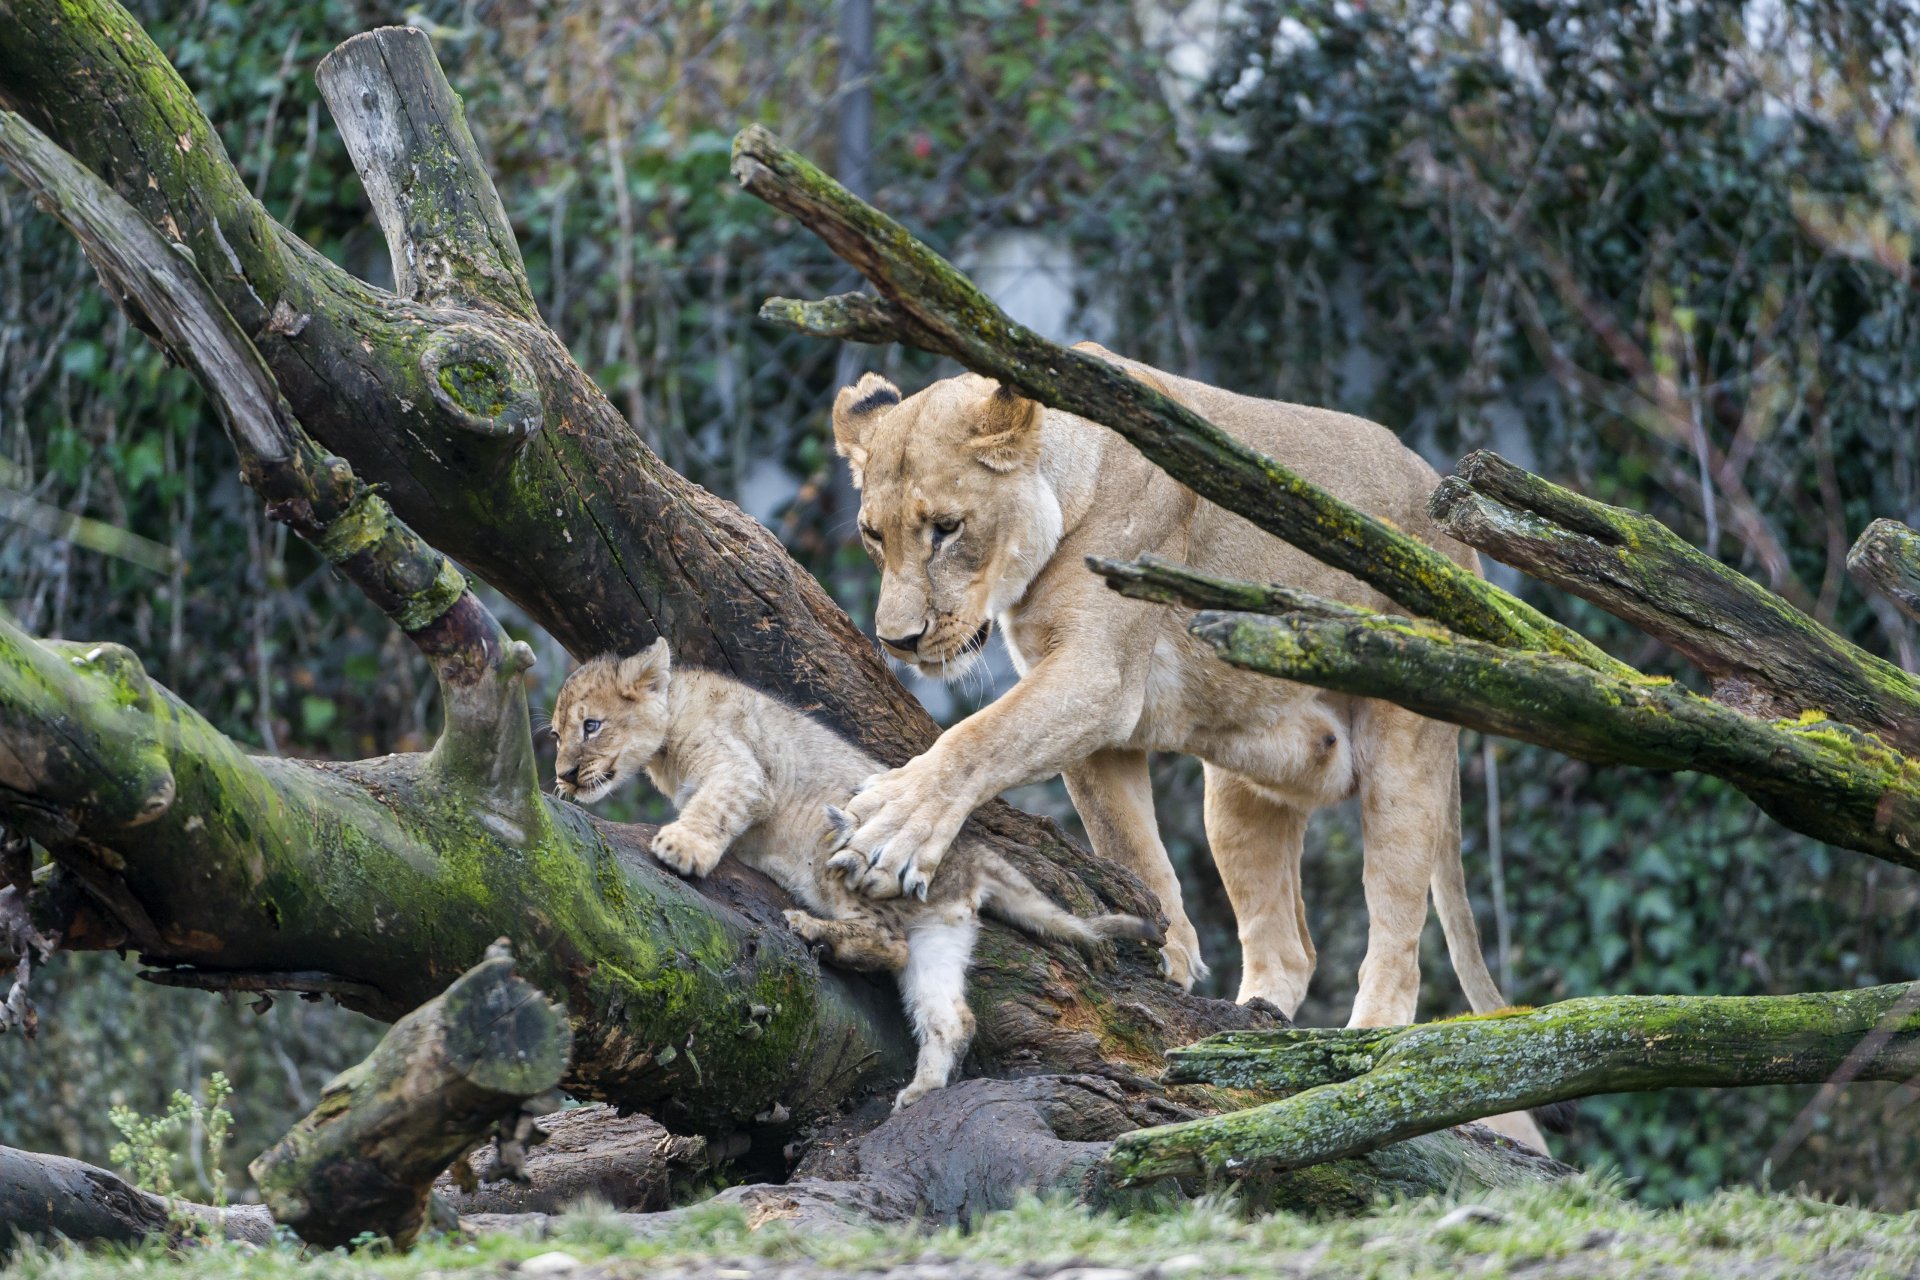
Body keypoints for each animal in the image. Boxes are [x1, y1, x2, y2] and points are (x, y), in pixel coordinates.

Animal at [550, 638, 1159, 1109]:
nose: (563, 777)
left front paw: (682, 847)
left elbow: (714, 807)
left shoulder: (742, 771)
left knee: (887, 941)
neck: (670, 725)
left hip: (842, 847)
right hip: (941, 936)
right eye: (556, 735)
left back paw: (813, 930)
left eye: (592, 726)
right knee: (945, 1007)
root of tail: (974, 855)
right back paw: (921, 1092)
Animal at [825, 343, 1549, 1146]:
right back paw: (1244, 1034)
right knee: (1287, 949)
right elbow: (1127, 844)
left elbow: (978, 736)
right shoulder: (1091, 720)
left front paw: (891, 828)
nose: (899, 641)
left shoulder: (1097, 676)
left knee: (1398, 942)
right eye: (872, 534)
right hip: (1238, 791)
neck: (1070, 483)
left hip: (1405, 747)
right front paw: (1166, 956)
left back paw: (1358, 1049)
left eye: (947, 528)